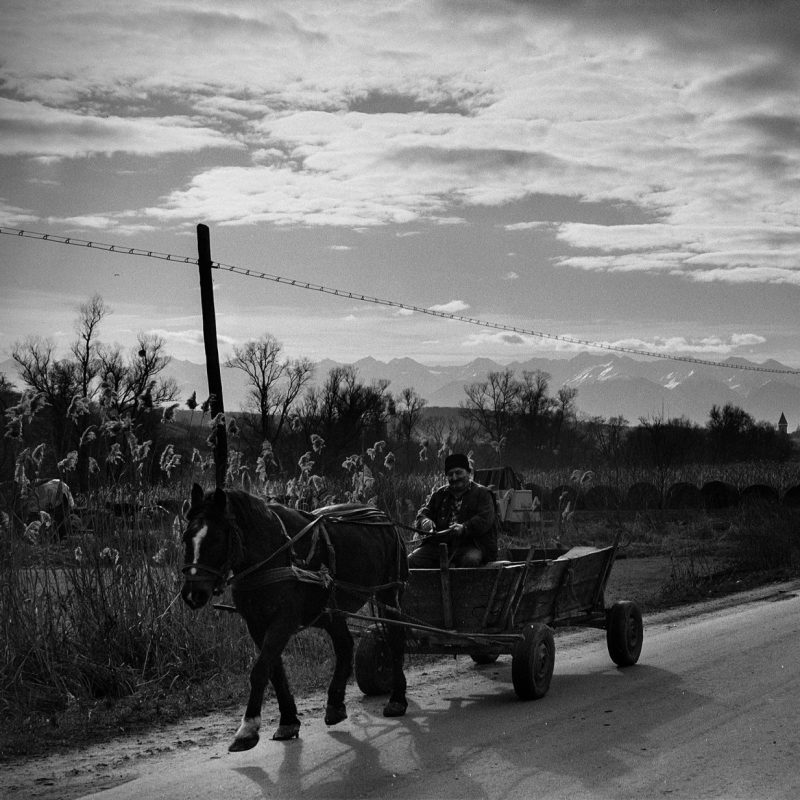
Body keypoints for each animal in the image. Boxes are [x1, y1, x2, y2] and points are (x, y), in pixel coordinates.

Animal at [180, 484, 406, 752]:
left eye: (216, 538)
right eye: (186, 538)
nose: (193, 593)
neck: (273, 554)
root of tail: (382, 516)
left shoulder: (284, 620)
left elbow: (260, 670)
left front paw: (247, 729)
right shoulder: (257, 624)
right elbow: (274, 670)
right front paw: (287, 721)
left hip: (389, 592)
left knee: (396, 638)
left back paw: (397, 698)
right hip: (330, 610)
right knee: (345, 646)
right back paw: (335, 704)